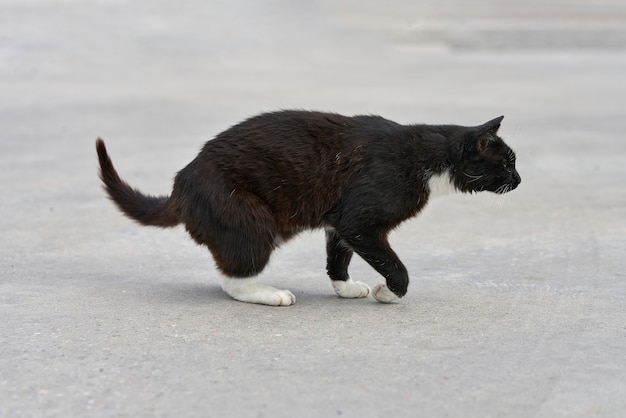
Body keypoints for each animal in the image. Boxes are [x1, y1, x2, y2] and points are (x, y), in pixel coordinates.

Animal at [96, 110, 516, 306]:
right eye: (508, 162)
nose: (521, 179)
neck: (431, 158)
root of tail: (181, 183)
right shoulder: (360, 221)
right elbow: (396, 266)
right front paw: (390, 293)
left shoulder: (339, 222)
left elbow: (337, 257)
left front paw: (345, 288)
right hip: (252, 221)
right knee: (233, 279)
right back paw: (269, 294)